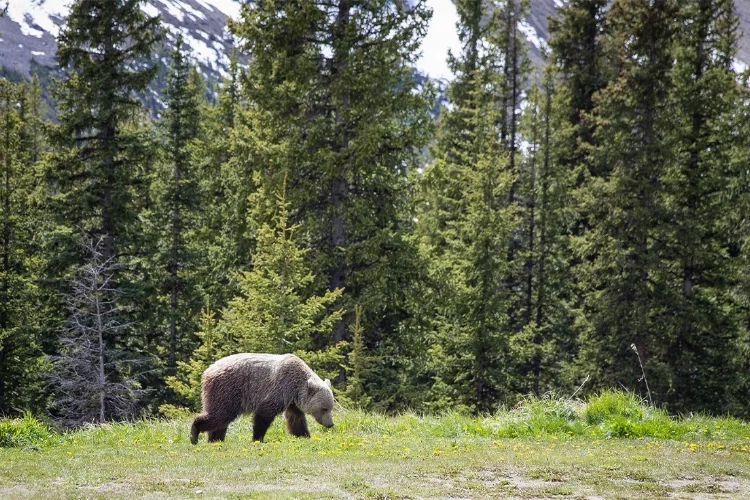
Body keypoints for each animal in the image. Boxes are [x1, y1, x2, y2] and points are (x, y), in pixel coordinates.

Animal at [191, 354, 334, 444]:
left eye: (330, 408)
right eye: (324, 409)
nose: (330, 424)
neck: (296, 387)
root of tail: (207, 371)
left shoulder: (292, 401)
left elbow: (296, 418)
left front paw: (304, 435)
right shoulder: (280, 388)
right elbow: (264, 413)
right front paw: (257, 438)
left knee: (220, 420)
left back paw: (215, 439)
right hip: (227, 390)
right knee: (220, 415)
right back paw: (195, 433)